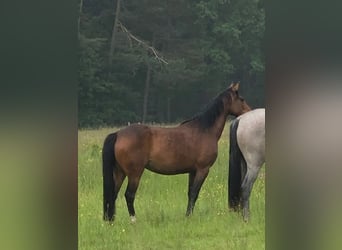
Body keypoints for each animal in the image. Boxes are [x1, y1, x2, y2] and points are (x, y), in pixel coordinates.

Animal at [103, 83, 250, 222]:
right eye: (242, 99)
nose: (249, 111)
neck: (204, 130)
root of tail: (118, 134)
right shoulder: (203, 169)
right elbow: (194, 193)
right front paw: (189, 217)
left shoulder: (193, 171)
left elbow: (190, 193)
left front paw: (187, 215)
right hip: (134, 173)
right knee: (129, 195)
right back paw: (133, 220)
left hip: (119, 172)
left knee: (113, 194)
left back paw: (111, 221)